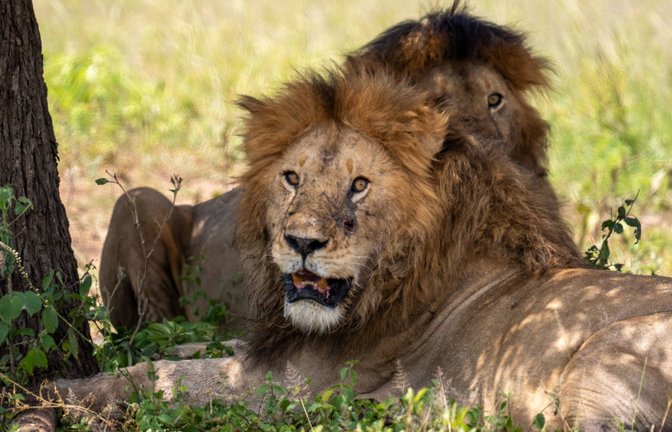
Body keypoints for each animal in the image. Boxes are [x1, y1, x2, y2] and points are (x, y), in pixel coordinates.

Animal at [55, 61, 672, 431]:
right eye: (292, 178)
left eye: (359, 185)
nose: (302, 241)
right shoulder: (269, 349)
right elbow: (187, 348)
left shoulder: (297, 384)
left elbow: (161, 376)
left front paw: (60, 387)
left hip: (596, 362)